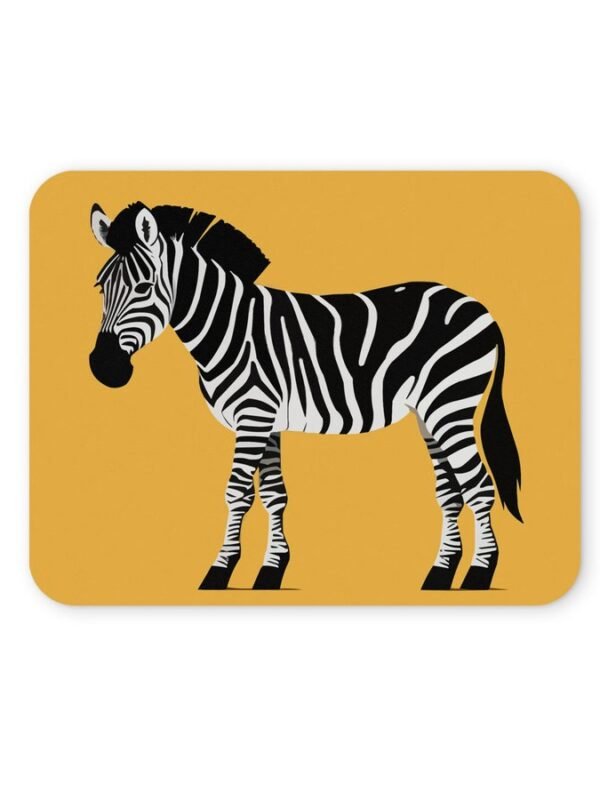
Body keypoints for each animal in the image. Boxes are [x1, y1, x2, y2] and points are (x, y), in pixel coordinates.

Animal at [89, 201, 522, 592]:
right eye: (100, 287)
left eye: (143, 287)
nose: (103, 368)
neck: (229, 328)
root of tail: (481, 308)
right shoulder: (265, 421)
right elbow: (272, 495)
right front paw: (270, 571)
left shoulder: (252, 415)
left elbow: (236, 493)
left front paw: (218, 572)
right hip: (429, 414)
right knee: (451, 493)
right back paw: (439, 576)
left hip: (451, 404)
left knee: (479, 486)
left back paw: (479, 575)